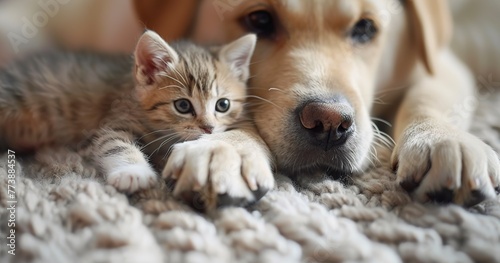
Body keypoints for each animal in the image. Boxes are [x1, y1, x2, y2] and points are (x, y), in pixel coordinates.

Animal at [0, 31, 258, 193]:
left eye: (222, 105)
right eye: (183, 106)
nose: (208, 128)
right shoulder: (112, 122)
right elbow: (115, 144)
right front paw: (133, 172)